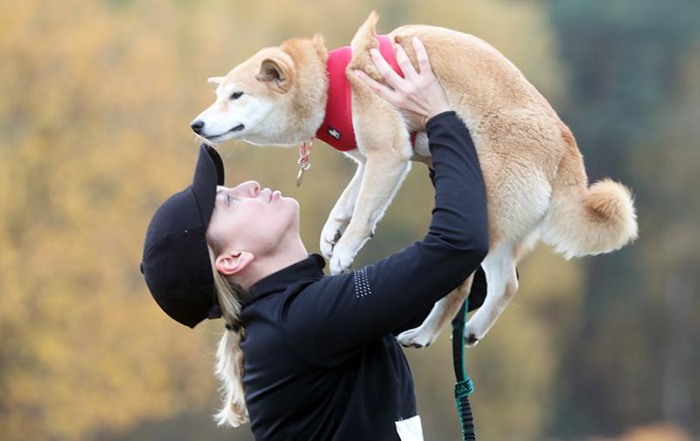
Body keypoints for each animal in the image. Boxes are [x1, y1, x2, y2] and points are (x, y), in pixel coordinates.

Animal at [189, 11, 636, 348]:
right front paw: (332, 233)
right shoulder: (373, 161)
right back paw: (471, 331)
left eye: (237, 96)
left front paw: (344, 250)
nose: (196, 124)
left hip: (487, 214)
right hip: (502, 229)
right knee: (506, 286)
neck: (337, 82)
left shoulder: (388, 155)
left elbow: (363, 211)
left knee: (461, 289)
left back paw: (424, 333)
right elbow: (349, 202)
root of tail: (565, 147)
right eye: (218, 96)